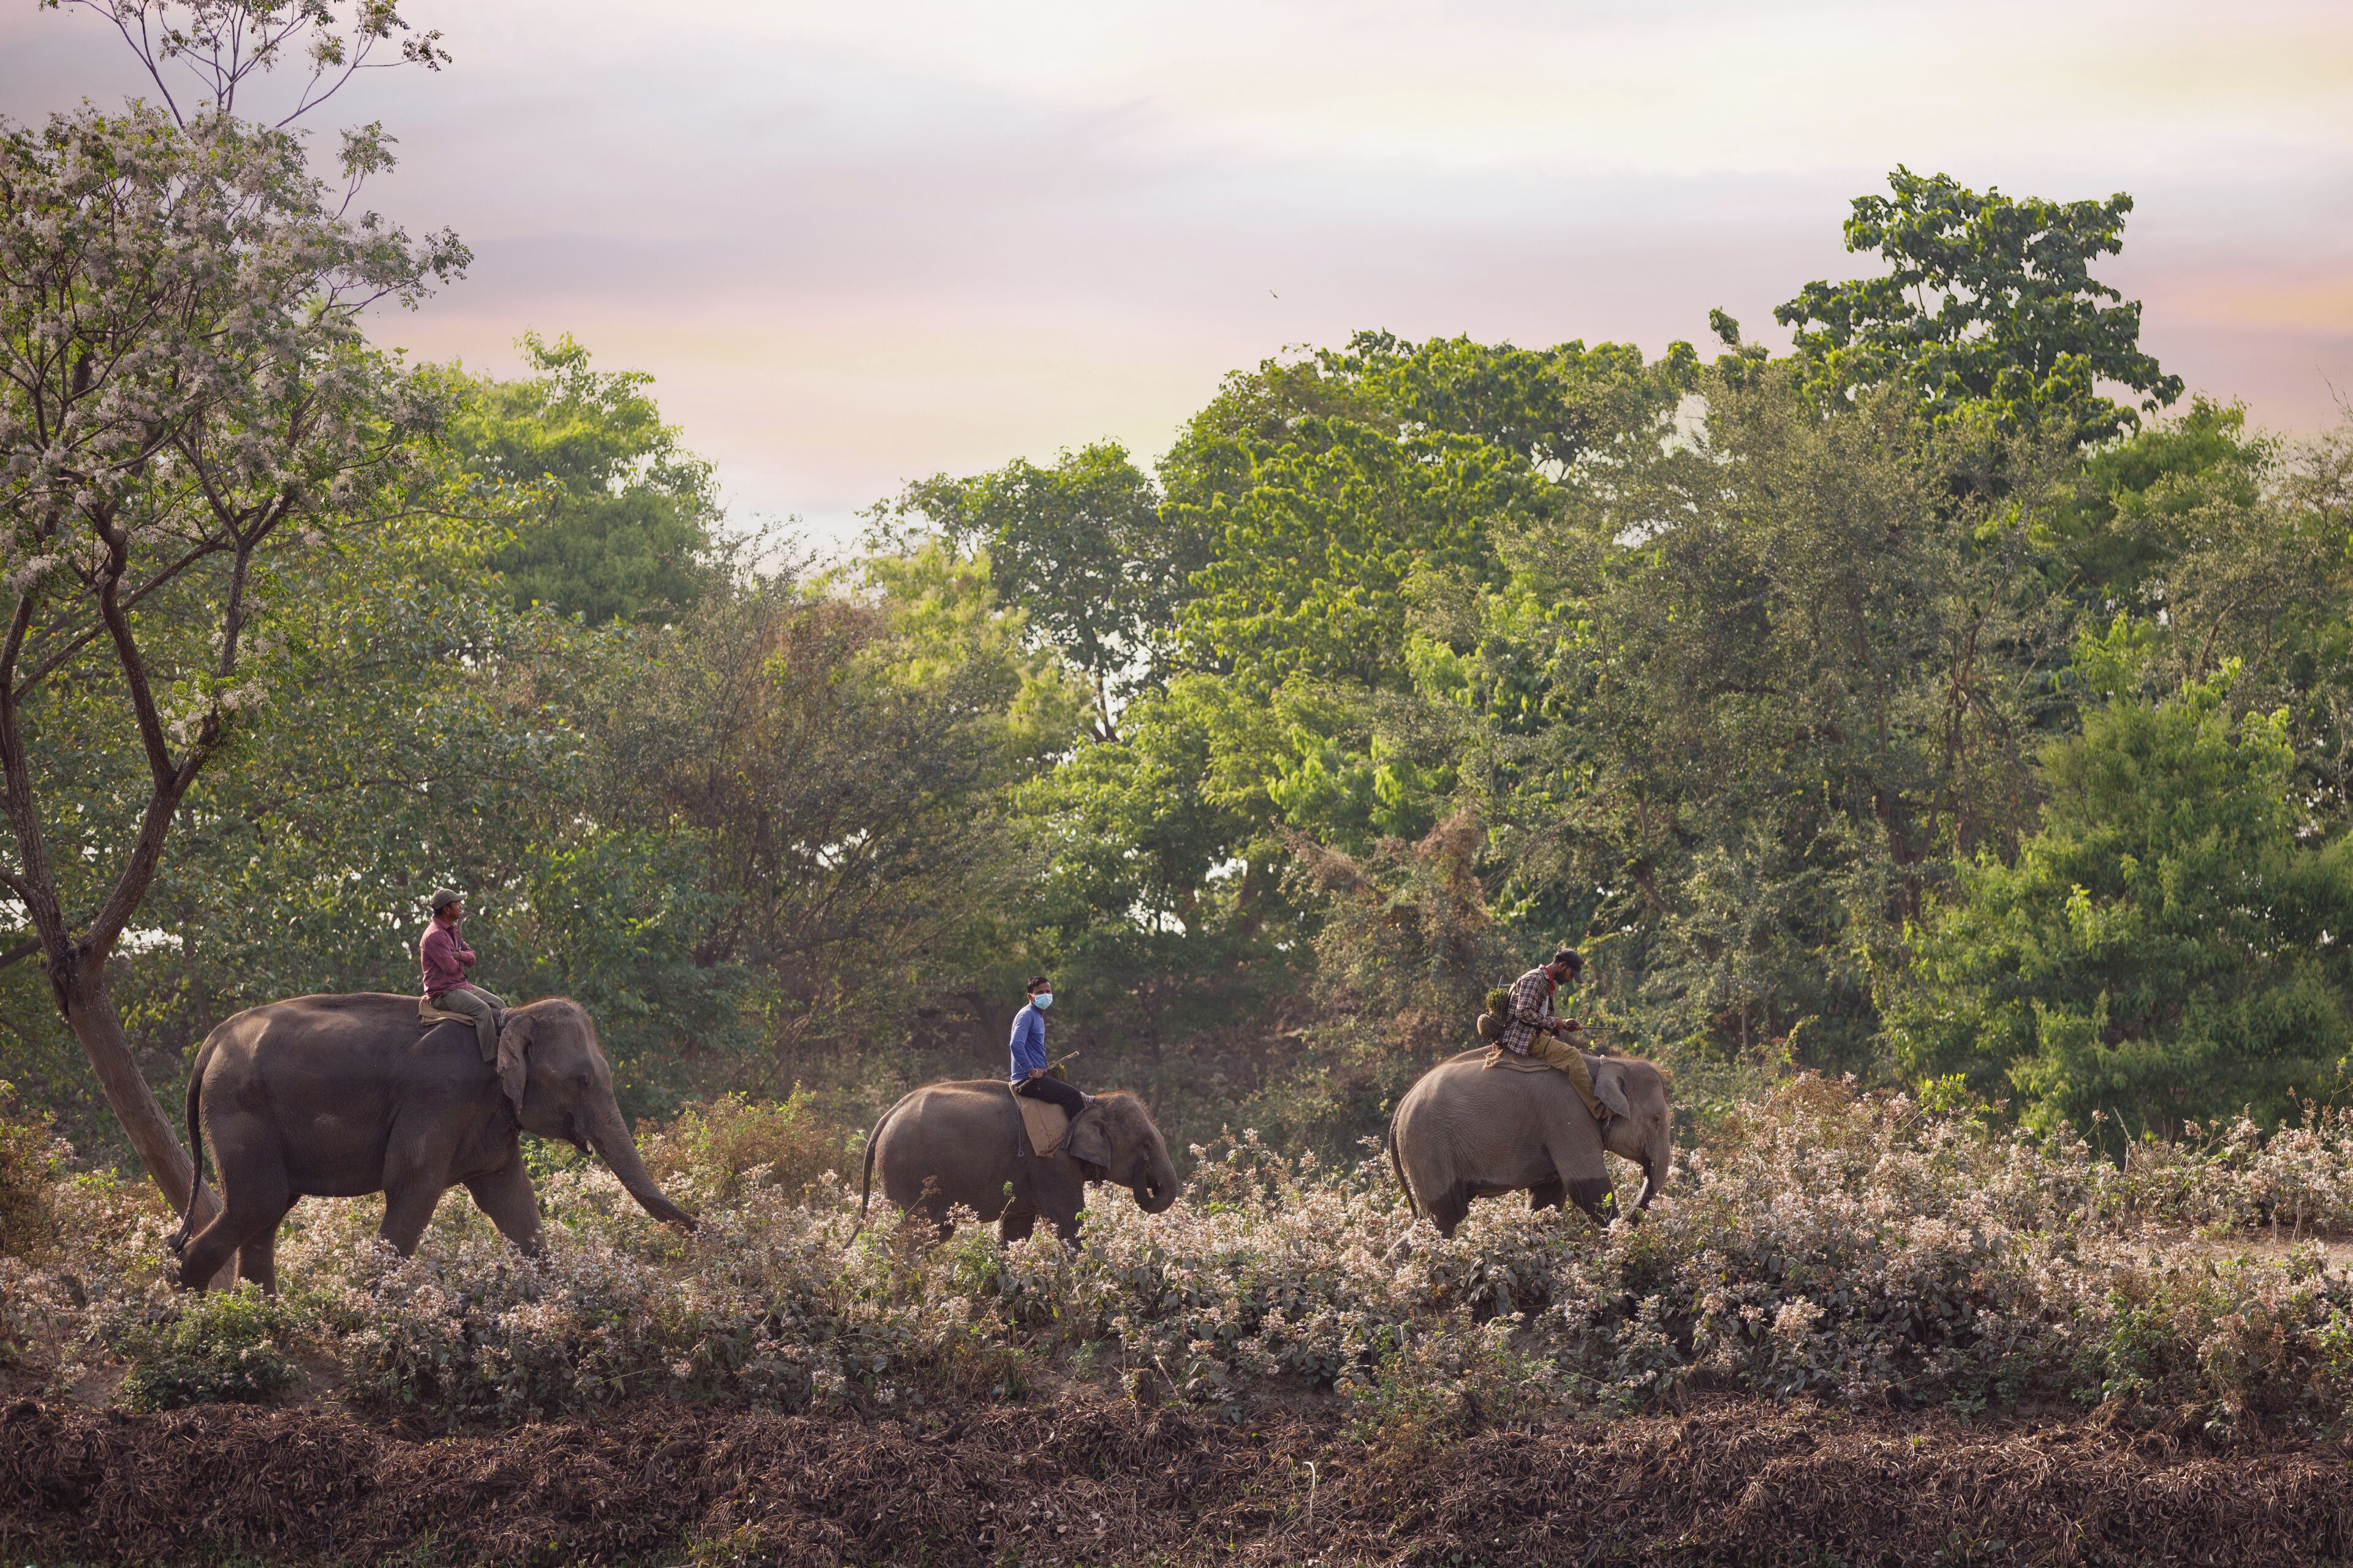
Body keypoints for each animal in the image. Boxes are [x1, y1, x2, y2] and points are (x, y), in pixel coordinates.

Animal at [167, 993, 696, 1291]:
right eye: (583, 1080)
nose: (701, 1229)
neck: (508, 1017)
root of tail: (210, 1044)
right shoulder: (438, 1099)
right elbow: (413, 1184)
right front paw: (367, 1313)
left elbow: (511, 1198)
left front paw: (557, 1302)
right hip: (240, 1111)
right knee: (259, 1203)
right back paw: (193, 1314)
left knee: (268, 1213)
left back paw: (265, 1323)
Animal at [856, 1080, 1178, 1244]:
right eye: (1145, 1146)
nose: (1147, 1176)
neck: (1093, 1102)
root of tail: (886, 1116)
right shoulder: (1053, 1162)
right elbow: (1069, 1219)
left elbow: (1017, 1230)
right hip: (906, 1172)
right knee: (912, 1234)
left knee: (934, 1234)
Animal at [1388, 1048, 1674, 1238]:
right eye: (1656, 1120)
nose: (1629, 1222)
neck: (1609, 1064)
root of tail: (1401, 1107)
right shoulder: (1567, 1116)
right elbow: (1589, 1189)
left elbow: (1548, 1198)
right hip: (1428, 1147)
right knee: (1445, 1215)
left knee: (1434, 1219)